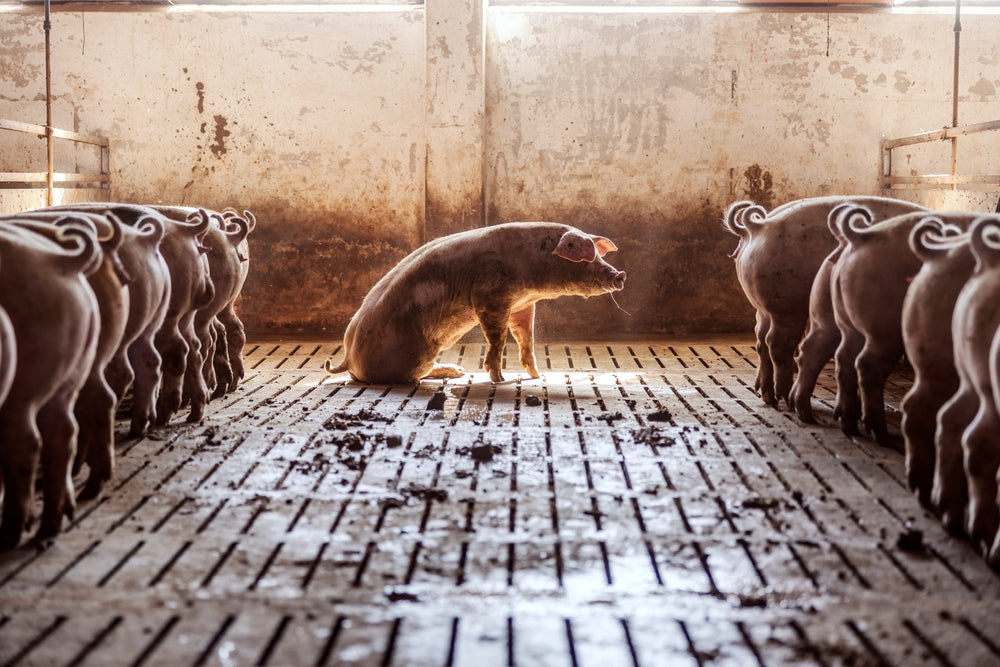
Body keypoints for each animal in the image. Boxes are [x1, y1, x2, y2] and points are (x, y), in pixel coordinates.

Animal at [0, 221, 100, 549]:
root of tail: (60, 262)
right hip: (69, 377)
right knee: (65, 431)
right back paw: (50, 526)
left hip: (25, 386)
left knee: (27, 442)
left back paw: (12, 536)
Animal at [325, 222, 626, 384]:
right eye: (586, 259)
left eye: (600, 256)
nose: (620, 275)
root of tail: (349, 357)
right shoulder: (490, 296)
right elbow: (497, 338)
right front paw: (499, 380)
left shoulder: (522, 304)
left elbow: (525, 336)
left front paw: (537, 375)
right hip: (416, 354)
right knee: (414, 376)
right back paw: (456, 372)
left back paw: (458, 371)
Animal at [723, 196, 928, 409]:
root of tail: (757, 227)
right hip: (787, 307)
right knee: (777, 343)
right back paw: (784, 398)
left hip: (764, 307)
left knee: (761, 338)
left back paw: (767, 396)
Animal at [830, 208, 980, 448]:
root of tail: (861, 237)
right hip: (884, 328)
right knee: (867, 364)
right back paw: (882, 437)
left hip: (847, 323)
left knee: (844, 357)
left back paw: (850, 426)